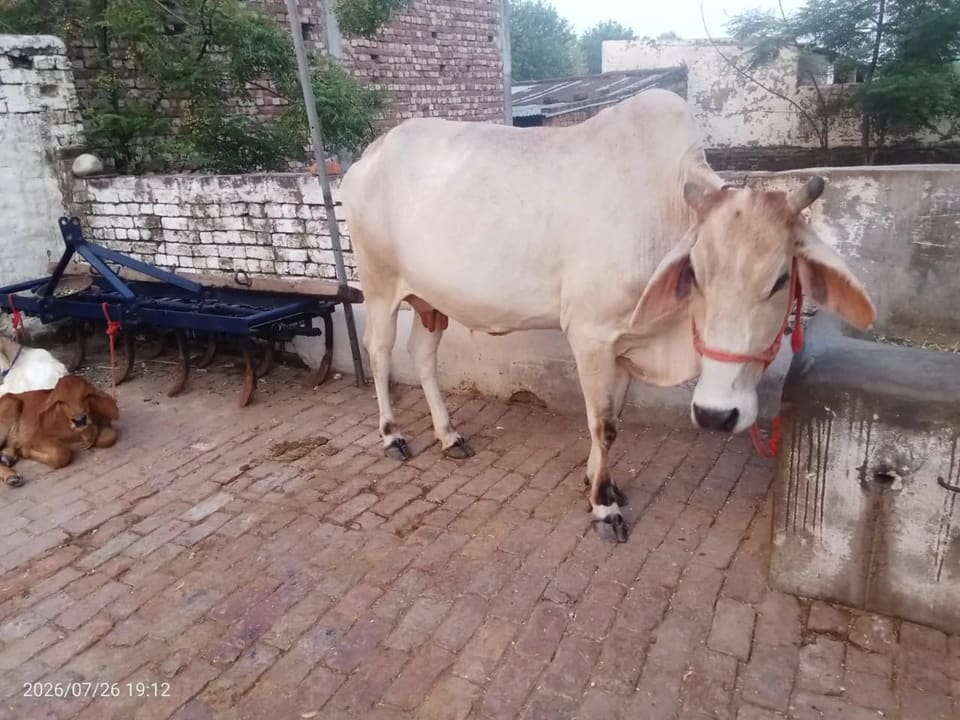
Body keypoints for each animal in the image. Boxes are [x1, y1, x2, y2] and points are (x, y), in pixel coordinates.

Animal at [338, 88, 876, 542]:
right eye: (696, 274)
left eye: (781, 279)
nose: (716, 414)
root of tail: (369, 155)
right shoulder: (591, 336)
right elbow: (604, 424)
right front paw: (603, 506)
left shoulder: (624, 342)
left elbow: (611, 418)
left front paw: (600, 481)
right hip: (380, 286)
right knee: (380, 354)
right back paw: (393, 435)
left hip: (430, 301)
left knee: (422, 356)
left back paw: (449, 435)